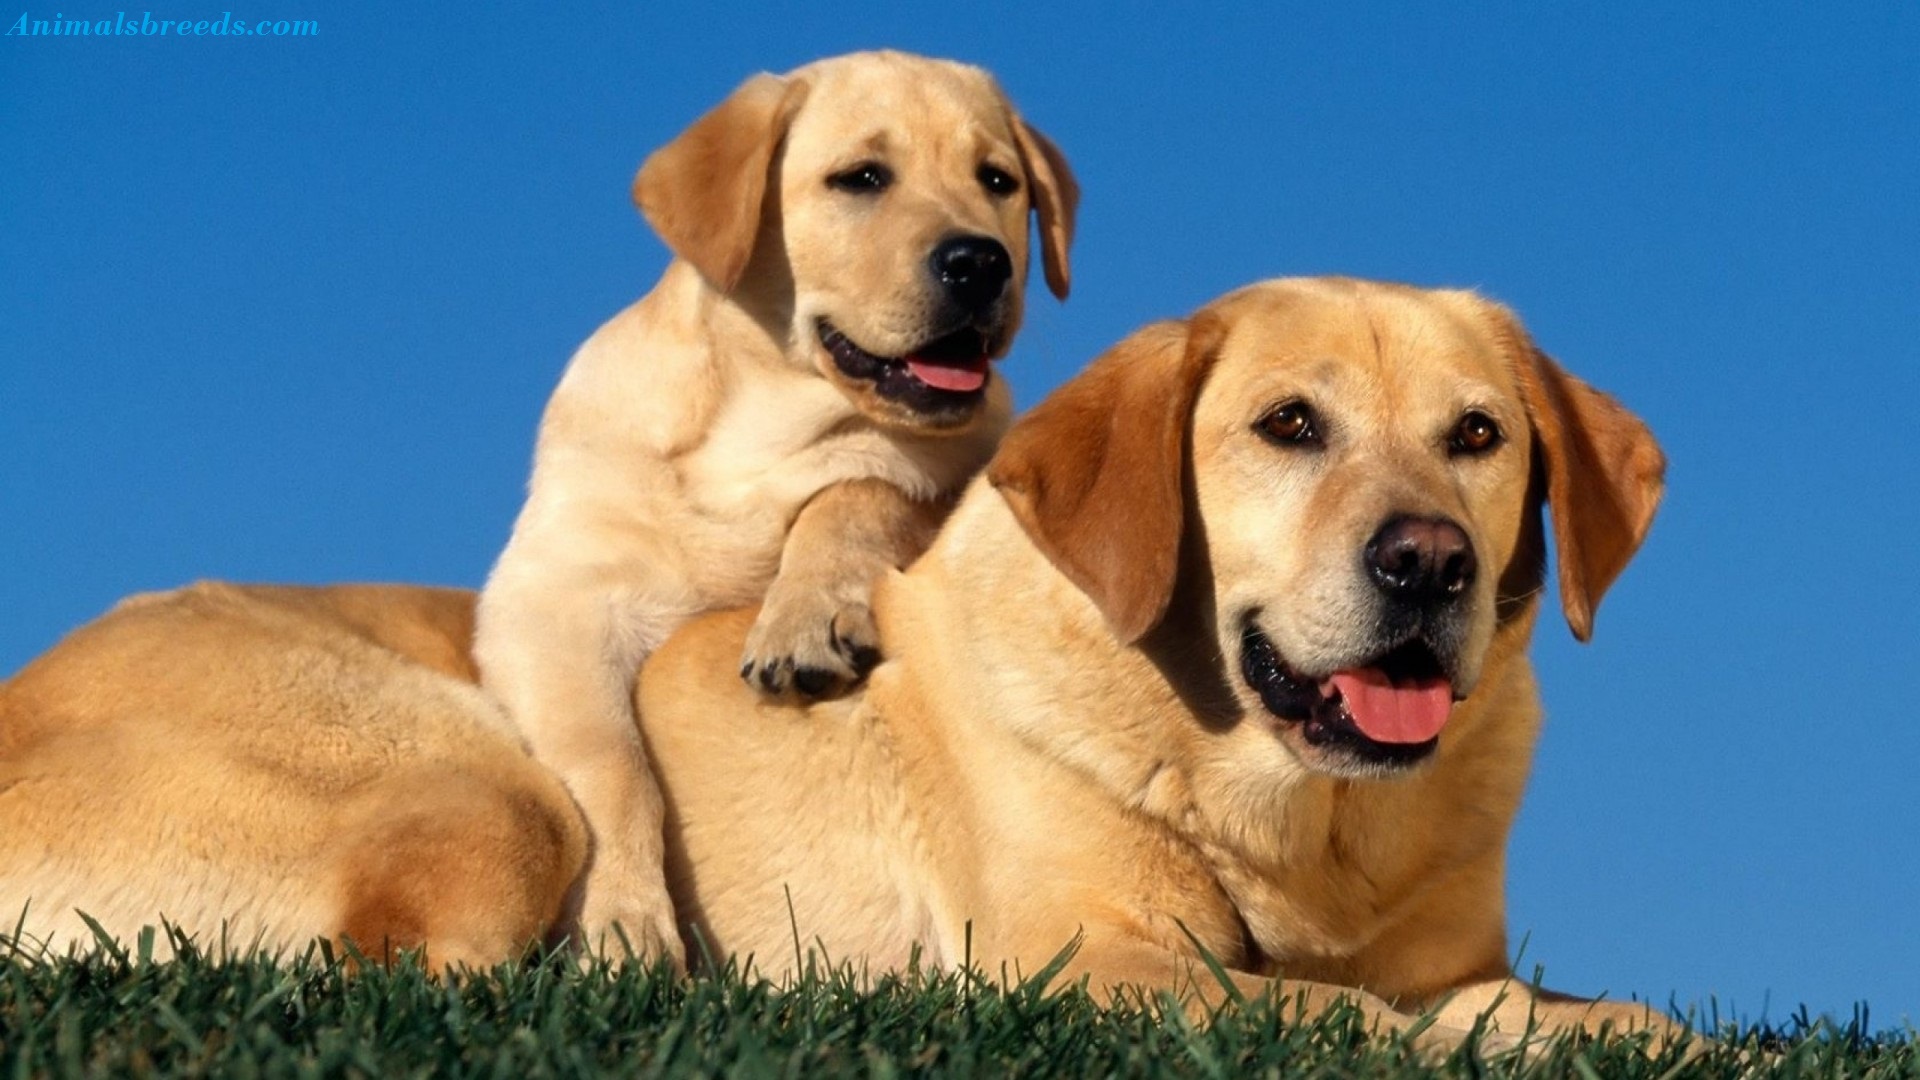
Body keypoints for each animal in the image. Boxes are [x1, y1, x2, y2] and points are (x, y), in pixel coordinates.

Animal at [3, 276, 1666, 1045]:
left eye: (1479, 437)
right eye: (1289, 426)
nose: (1430, 564)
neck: (1298, 818)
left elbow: (1499, 999)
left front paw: (1625, 1034)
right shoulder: (1083, 958)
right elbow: (1323, 1012)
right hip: (493, 790)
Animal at [472, 48, 1075, 957]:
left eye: (997, 180)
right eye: (862, 177)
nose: (981, 263)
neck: (757, 426)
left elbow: (864, 486)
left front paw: (805, 613)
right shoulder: (551, 602)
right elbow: (610, 763)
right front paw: (624, 921)